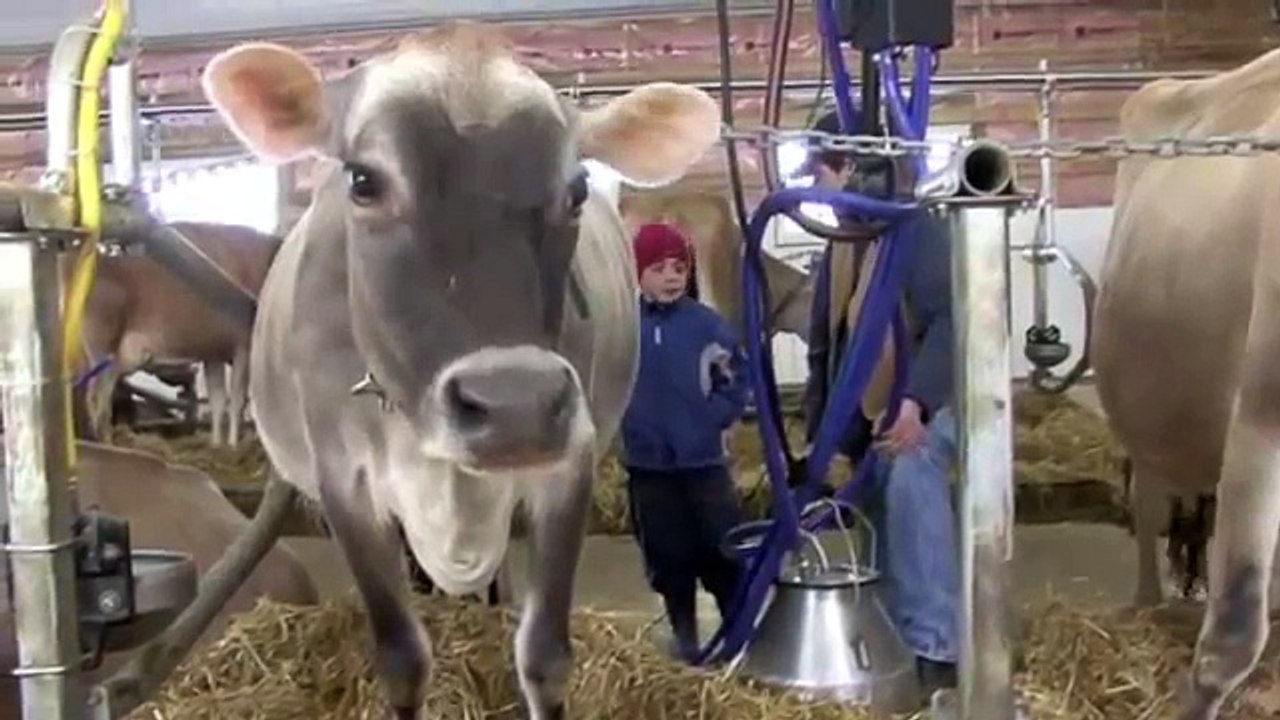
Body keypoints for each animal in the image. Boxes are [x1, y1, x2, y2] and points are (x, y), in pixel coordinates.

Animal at [77, 221, 281, 447]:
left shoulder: (213, 352)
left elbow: (218, 400)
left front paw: (216, 444)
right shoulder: (243, 345)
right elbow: (237, 400)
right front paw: (233, 445)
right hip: (104, 348)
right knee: (97, 397)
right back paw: (106, 442)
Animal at [200, 21, 721, 719]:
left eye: (576, 190)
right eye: (363, 180)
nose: (515, 406)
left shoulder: (570, 464)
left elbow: (545, 657)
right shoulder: (344, 481)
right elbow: (402, 660)